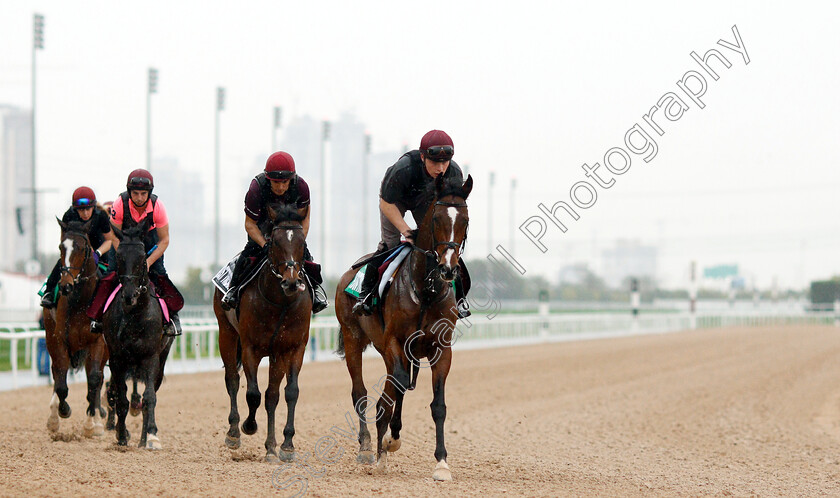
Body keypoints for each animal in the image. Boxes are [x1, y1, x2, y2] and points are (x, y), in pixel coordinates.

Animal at [44, 218, 109, 436]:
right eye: (61, 247)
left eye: (82, 247)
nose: (66, 285)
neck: (81, 303)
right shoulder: (59, 340)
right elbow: (61, 382)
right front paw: (62, 411)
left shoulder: (97, 342)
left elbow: (95, 380)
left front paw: (91, 424)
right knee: (57, 372)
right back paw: (54, 417)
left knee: (97, 378)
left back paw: (97, 419)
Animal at [102, 217, 173, 448]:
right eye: (119, 256)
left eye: (142, 257)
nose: (129, 295)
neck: (135, 314)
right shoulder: (117, 358)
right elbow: (120, 397)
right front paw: (121, 436)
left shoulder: (150, 357)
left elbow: (149, 397)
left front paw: (149, 437)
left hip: (161, 359)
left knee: (147, 396)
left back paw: (145, 437)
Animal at [213, 203, 312, 462]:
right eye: (275, 242)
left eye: (302, 242)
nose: (291, 282)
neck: (279, 302)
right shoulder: (251, 347)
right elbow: (253, 394)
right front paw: (248, 426)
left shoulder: (290, 348)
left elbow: (286, 393)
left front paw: (285, 445)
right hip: (226, 333)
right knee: (233, 380)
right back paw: (234, 432)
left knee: (271, 395)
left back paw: (270, 446)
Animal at [334, 173, 472, 480]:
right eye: (437, 219)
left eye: (465, 220)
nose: (448, 268)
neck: (426, 290)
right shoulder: (395, 342)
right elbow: (395, 387)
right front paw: (389, 440)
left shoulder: (440, 349)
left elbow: (437, 405)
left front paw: (442, 462)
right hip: (353, 337)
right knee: (360, 393)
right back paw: (368, 448)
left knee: (389, 394)